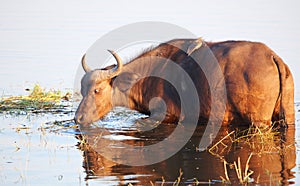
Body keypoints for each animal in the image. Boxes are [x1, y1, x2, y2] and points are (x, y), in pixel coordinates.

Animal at [74, 38, 294, 127]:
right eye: (82, 91)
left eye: (97, 90)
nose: (78, 118)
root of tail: (272, 56)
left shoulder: (164, 116)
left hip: (259, 121)